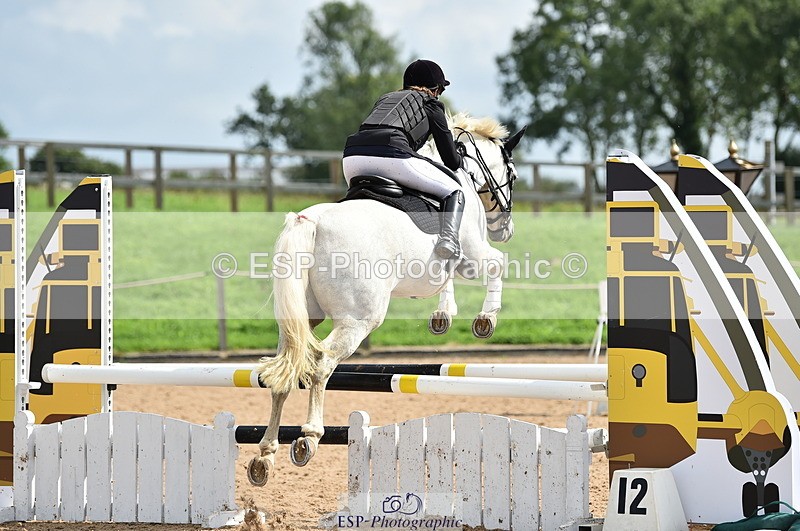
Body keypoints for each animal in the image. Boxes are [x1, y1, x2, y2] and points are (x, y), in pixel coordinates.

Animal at [246, 113, 527, 486]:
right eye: (512, 175)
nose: (505, 230)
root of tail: (311, 221)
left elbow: (447, 277)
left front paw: (443, 316)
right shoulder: (472, 255)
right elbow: (498, 264)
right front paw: (485, 320)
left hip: (299, 320)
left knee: (284, 371)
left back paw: (265, 456)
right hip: (359, 319)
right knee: (321, 364)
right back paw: (309, 437)